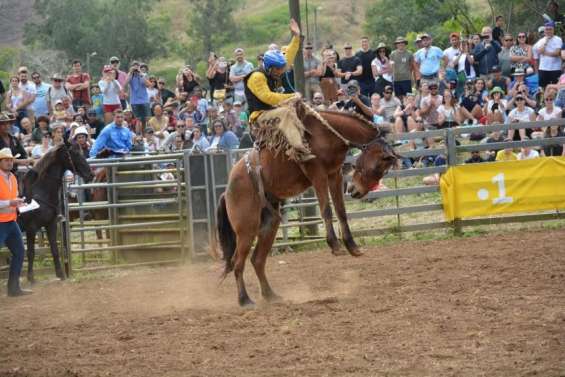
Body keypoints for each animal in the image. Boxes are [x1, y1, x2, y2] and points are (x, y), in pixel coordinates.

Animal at [216, 103, 396, 306]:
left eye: (384, 171)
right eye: (377, 166)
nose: (357, 191)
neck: (326, 133)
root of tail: (227, 190)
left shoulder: (334, 174)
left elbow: (340, 211)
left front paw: (352, 247)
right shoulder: (318, 174)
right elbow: (326, 209)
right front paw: (335, 246)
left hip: (269, 223)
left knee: (257, 260)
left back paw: (271, 295)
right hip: (246, 229)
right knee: (238, 263)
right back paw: (245, 300)